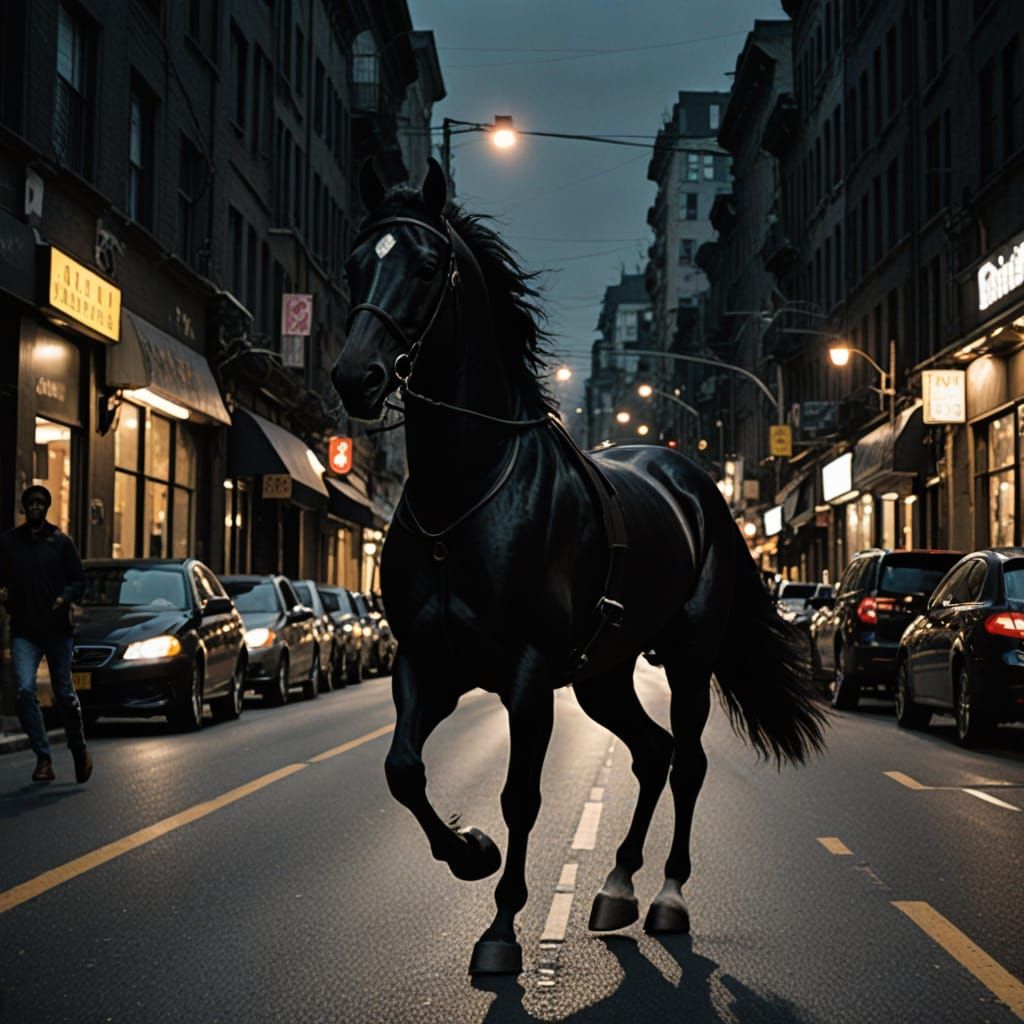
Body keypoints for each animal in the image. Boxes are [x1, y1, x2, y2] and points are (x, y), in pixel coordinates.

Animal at [331, 158, 828, 976]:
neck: (464, 493)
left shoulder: (529, 672)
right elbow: (403, 770)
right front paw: (470, 851)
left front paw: (502, 925)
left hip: (688, 658)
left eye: (428, 266)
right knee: (652, 753)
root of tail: (691, 481)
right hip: (603, 676)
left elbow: (521, 796)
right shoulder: (426, 662)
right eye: (353, 264)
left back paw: (667, 895)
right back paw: (617, 884)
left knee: (688, 760)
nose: (355, 377)